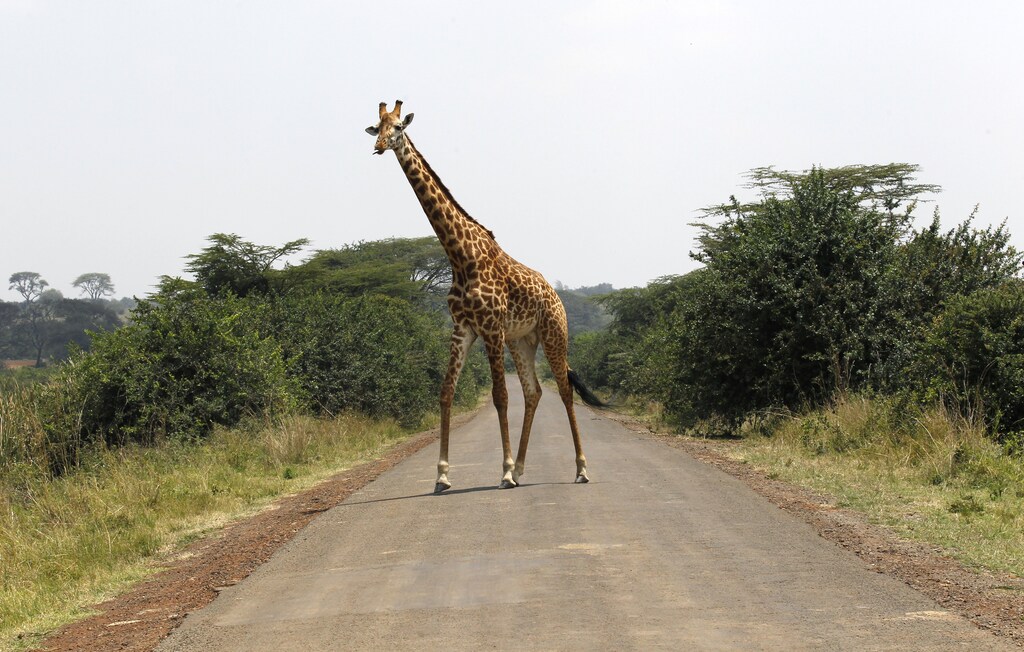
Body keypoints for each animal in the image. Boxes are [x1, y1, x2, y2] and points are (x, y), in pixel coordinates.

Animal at [366, 100, 603, 493]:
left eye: (398, 127)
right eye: (377, 126)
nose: (379, 146)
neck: (460, 257)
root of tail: (556, 296)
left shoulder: (490, 328)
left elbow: (499, 396)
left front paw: (502, 471)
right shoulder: (463, 329)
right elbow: (445, 392)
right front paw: (442, 475)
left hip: (554, 333)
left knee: (564, 391)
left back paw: (580, 469)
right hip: (521, 341)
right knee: (534, 392)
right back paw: (522, 469)